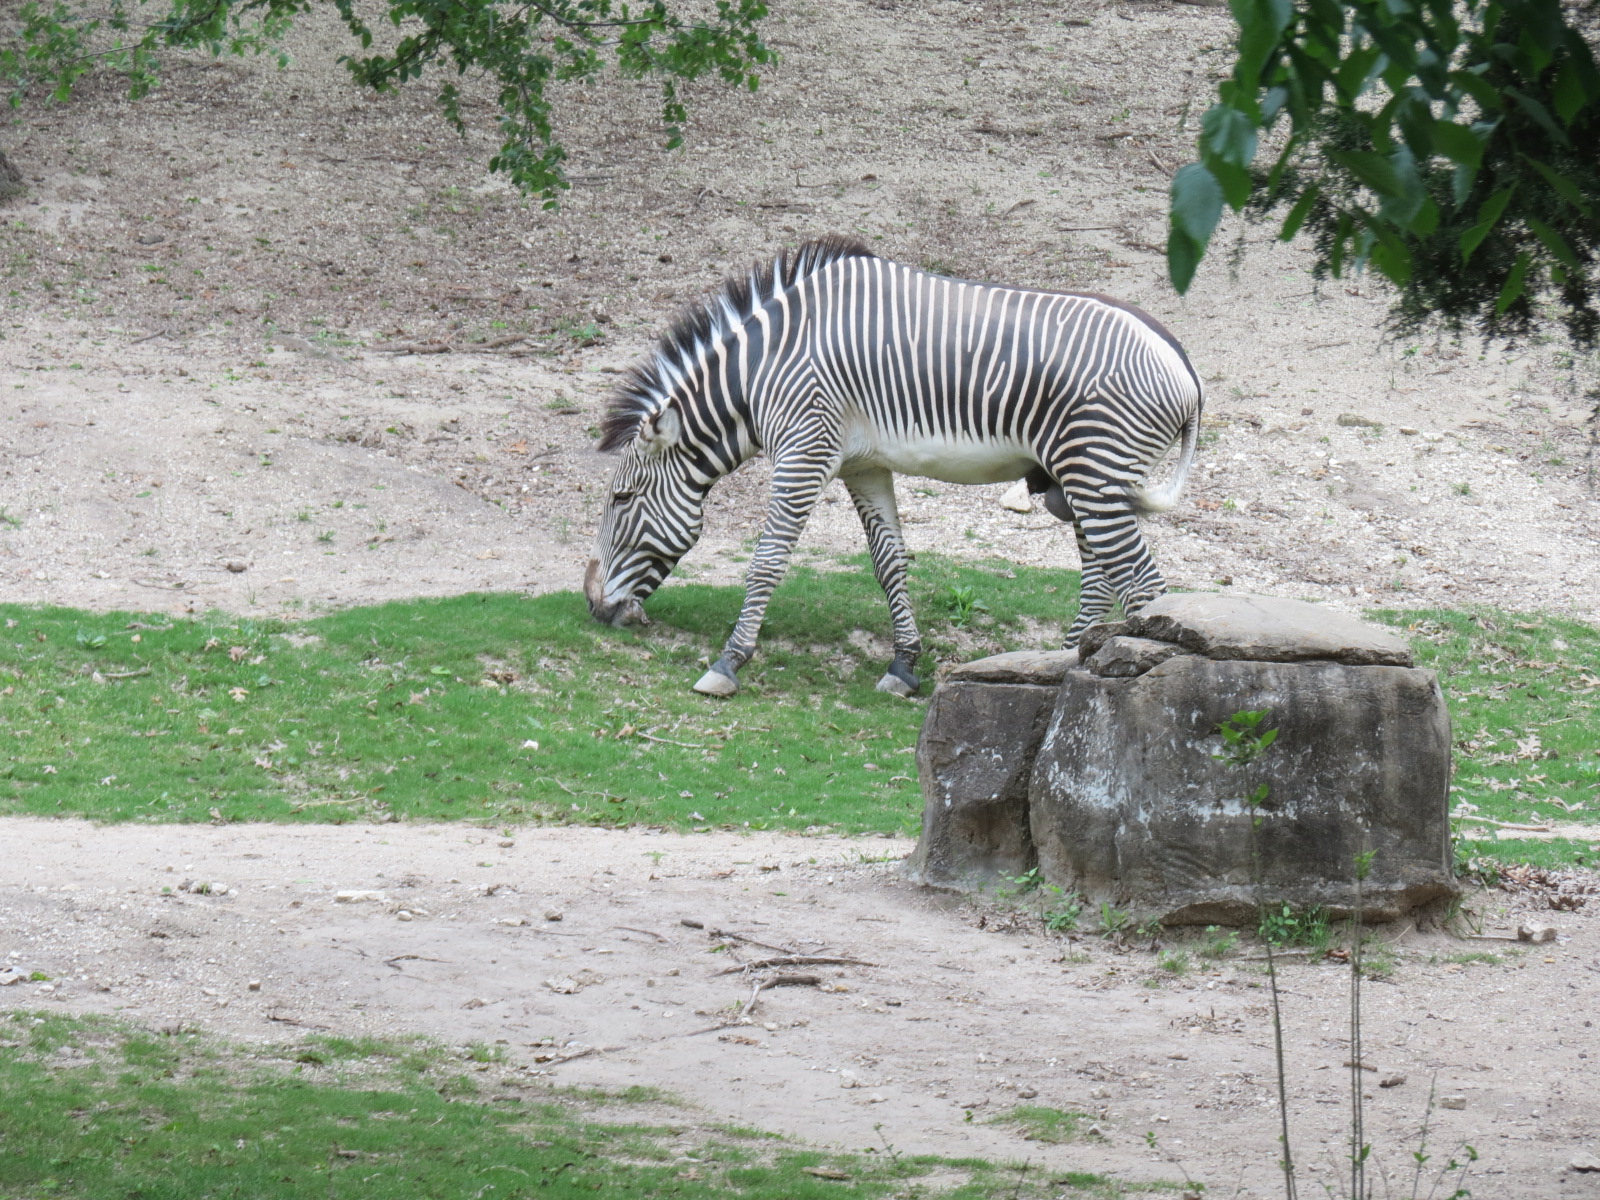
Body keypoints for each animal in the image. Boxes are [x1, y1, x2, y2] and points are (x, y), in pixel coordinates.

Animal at [585, 235, 1203, 698]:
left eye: (621, 500)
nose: (592, 607)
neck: (763, 369)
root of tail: (1186, 367)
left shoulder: (804, 451)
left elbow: (767, 561)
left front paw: (728, 662)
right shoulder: (862, 466)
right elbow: (889, 563)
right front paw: (903, 665)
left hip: (1096, 472)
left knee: (1144, 583)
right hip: (1075, 480)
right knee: (1102, 576)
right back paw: (1060, 664)